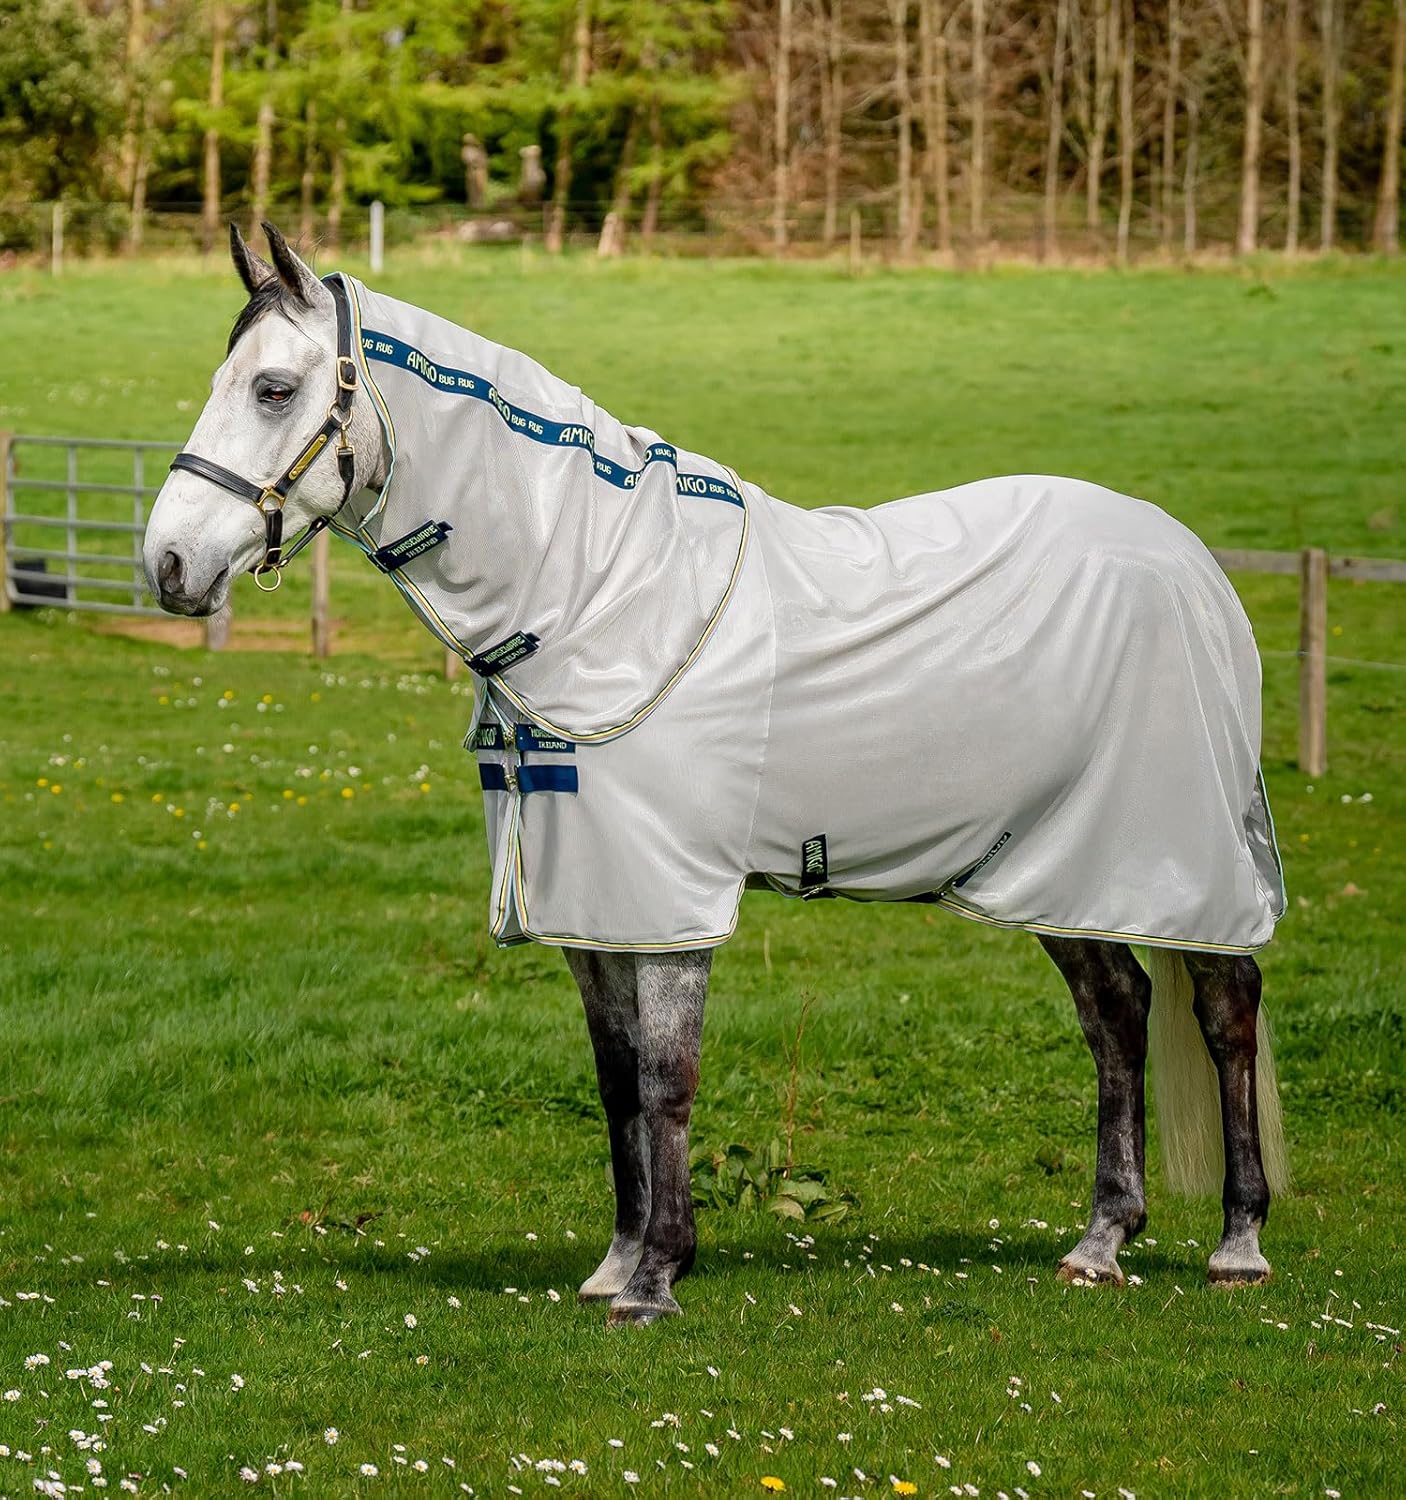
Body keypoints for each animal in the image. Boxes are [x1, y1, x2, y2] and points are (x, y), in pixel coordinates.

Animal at [143, 223, 1288, 1325]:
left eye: (272, 389)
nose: (168, 564)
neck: (602, 592)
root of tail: (1190, 563)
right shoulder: (593, 905)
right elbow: (615, 1082)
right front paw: (615, 1265)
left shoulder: (668, 900)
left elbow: (666, 1078)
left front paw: (656, 1276)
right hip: (1058, 866)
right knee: (1117, 1013)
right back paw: (1100, 1241)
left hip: (1180, 854)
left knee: (1224, 1008)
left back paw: (1237, 1244)